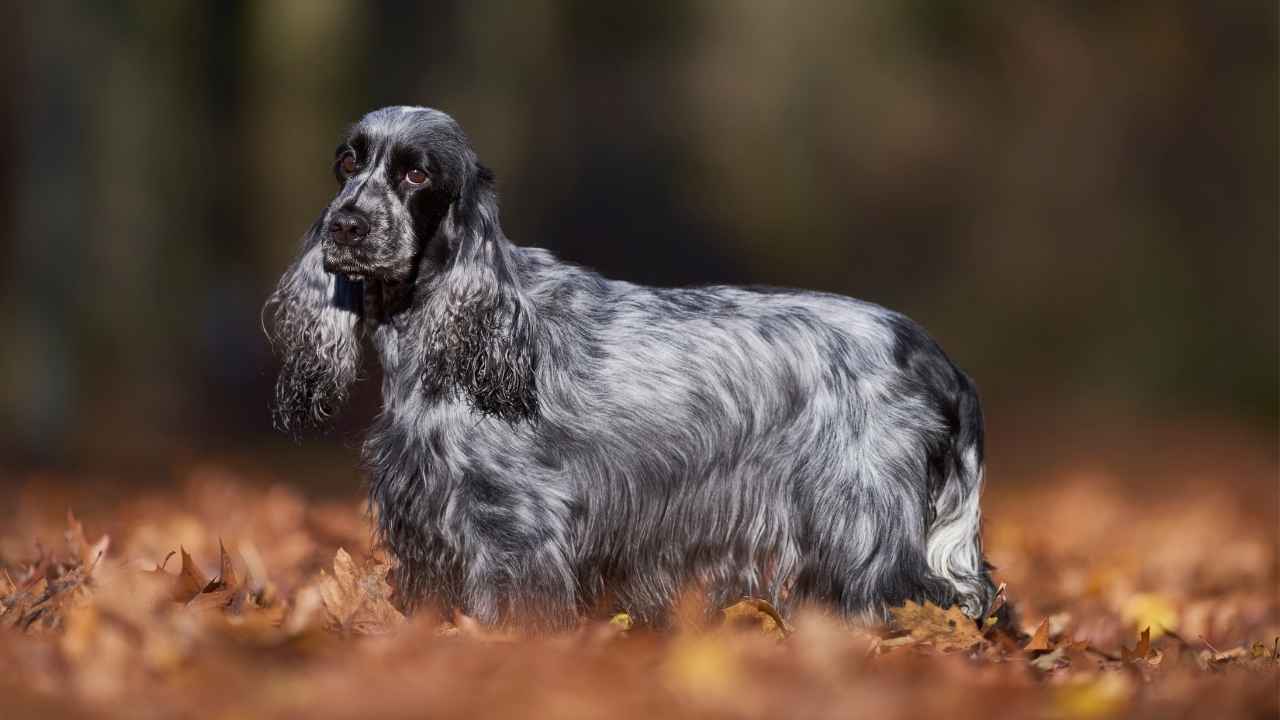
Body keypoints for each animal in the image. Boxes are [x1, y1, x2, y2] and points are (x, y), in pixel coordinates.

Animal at [262, 103, 998, 625]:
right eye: (347, 164)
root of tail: (935, 356)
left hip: (862, 532)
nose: (345, 225)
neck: (445, 327)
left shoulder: (513, 526)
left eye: (416, 174)